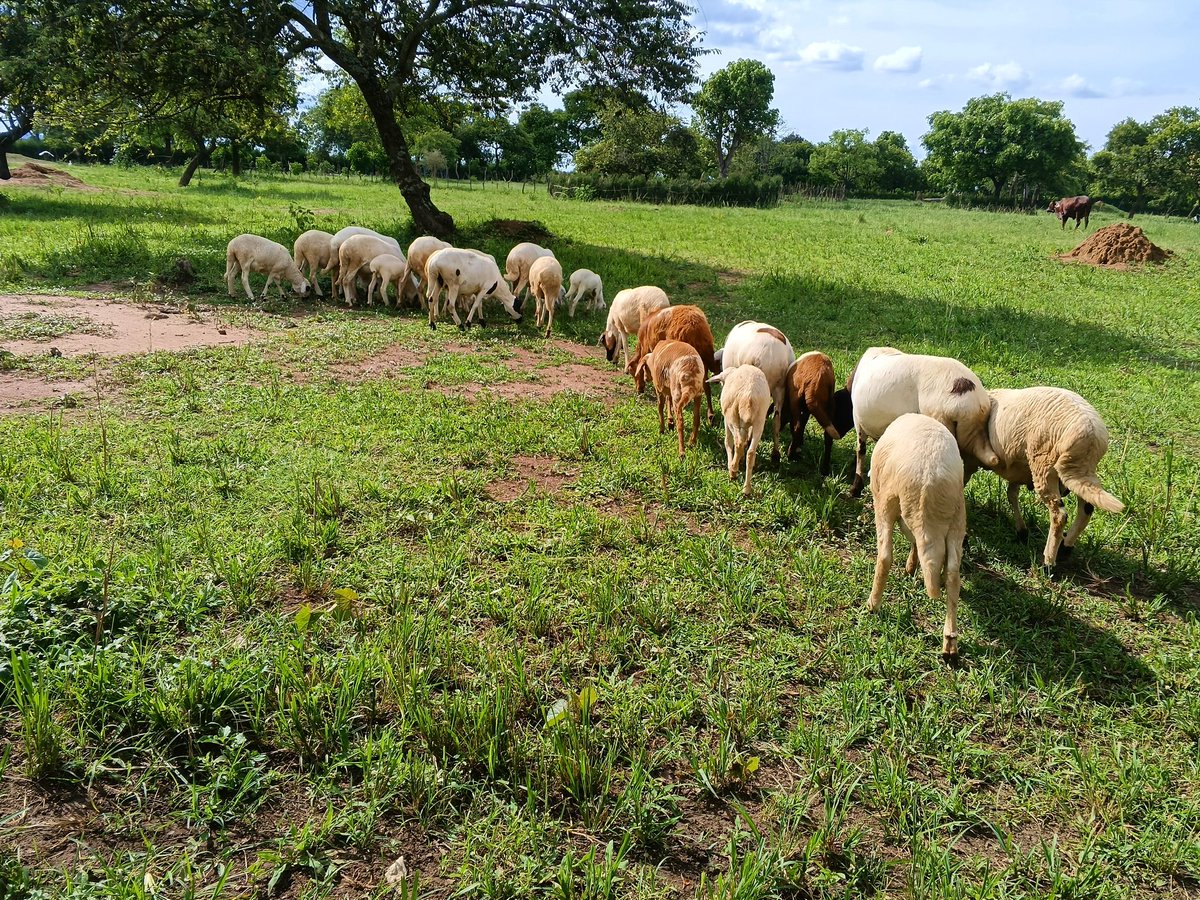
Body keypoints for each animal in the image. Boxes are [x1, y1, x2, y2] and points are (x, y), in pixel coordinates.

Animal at [708, 365, 771, 497]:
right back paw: (746, 489)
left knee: (738, 443)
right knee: (751, 452)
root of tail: (749, 395)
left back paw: (733, 469)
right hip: (760, 420)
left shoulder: (726, 420)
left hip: (732, 417)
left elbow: (728, 442)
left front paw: (731, 466)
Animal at [848, 347, 1000, 498]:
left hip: (941, 423)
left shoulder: (858, 421)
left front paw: (855, 488)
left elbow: (860, 451)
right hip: (969, 437)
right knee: (968, 467)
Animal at [868, 413, 967, 660]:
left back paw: (873, 604)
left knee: (885, 556)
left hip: (887, 502)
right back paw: (950, 641)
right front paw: (912, 567)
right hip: (958, 518)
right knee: (953, 573)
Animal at [967, 387, 1125, 569]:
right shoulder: (1017, 468)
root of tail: (1089, 434)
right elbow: (1011, 494)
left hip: (1044, 465)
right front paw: (1022, 532)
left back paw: (1048, 562)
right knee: (1086, 508)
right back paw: (1065, 547)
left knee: (1059, 515)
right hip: (1081, 473)